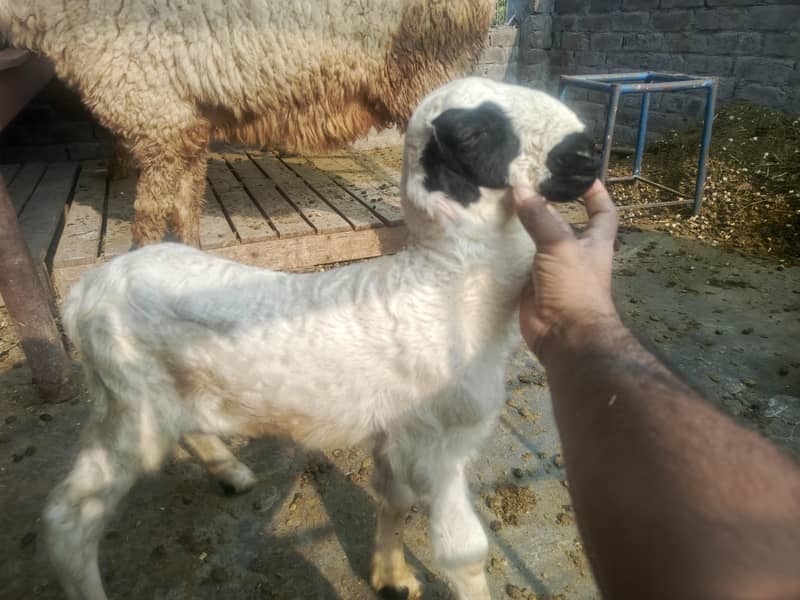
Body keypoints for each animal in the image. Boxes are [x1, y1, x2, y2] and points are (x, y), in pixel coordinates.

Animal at [43, 77, 601, 600]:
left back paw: (233, 473)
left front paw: (391, 578)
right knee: (67, 519)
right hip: (128, 400)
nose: (588, 151)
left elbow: (393, 498)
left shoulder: (396, 433)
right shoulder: (437, 442)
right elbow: (463, 552)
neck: (449, 283)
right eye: (472, 133)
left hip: (162, 391)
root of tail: (88, 288)